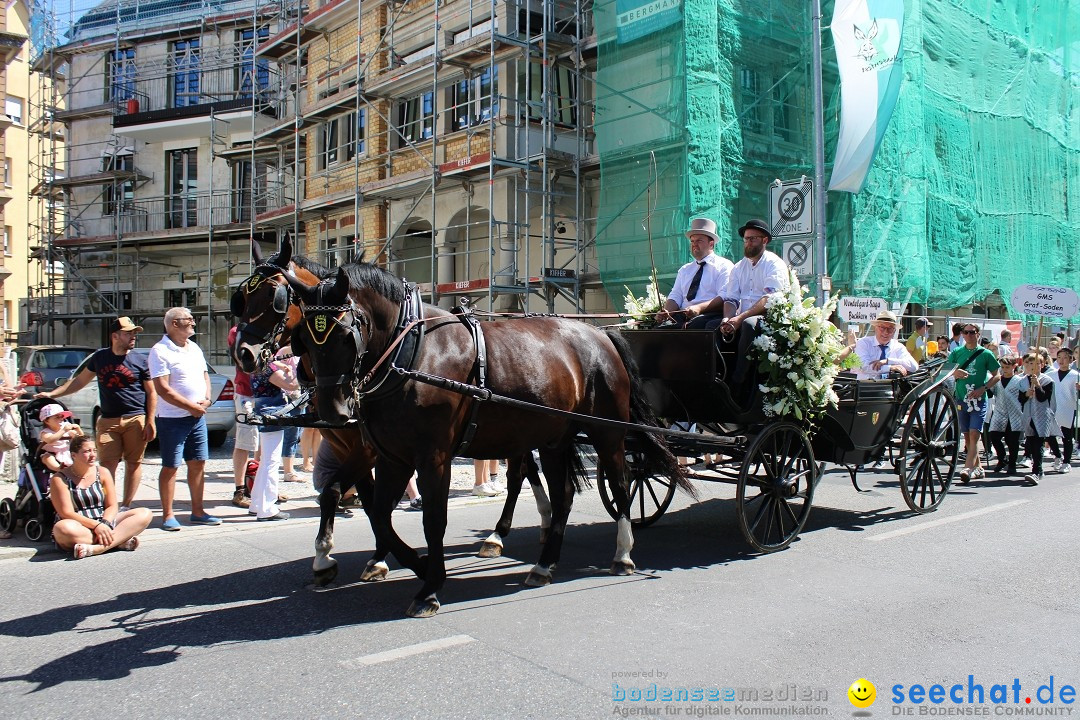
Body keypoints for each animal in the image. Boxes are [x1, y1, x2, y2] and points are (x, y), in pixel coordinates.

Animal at [282, 262, 678, 617]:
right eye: (305, 338)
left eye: (347, 331)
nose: (333, 411)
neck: (410, 353)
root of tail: (600, 334)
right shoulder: (393, 456)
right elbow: (374, 512)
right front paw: (413, 565)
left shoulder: (432, 457)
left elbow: (432, 520)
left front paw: (429, 586)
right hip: (554, 439)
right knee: (563, 494)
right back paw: (544, 564)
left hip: (607, 432)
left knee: (622, 484)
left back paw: (622, 554)